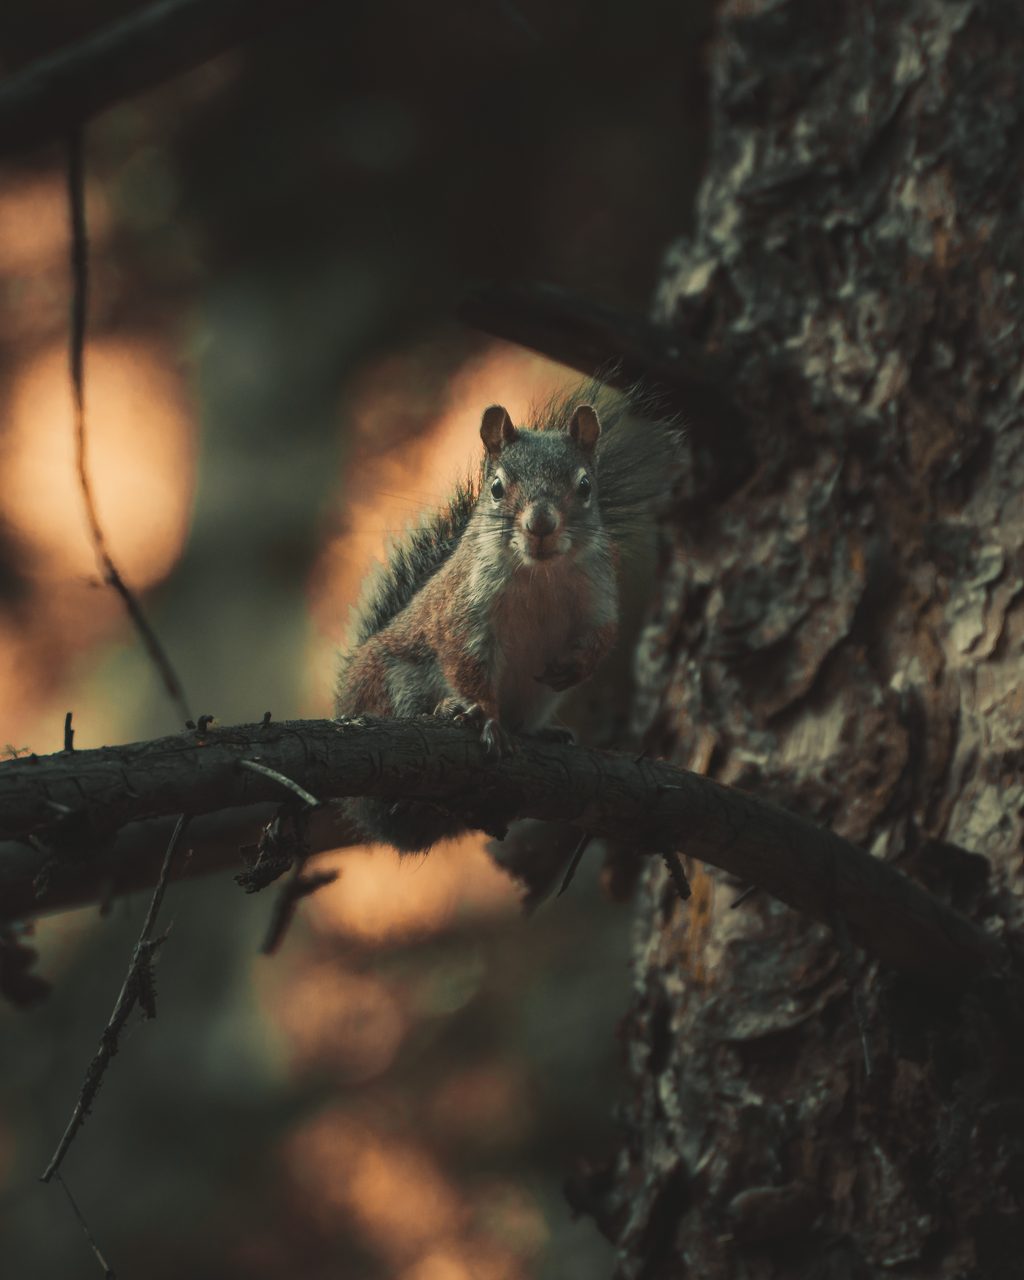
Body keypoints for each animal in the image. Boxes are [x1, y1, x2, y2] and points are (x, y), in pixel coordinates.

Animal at [335, 383, 680, 853]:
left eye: (585, 486)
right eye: (497, 487)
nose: (541, 523)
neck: (540, 574)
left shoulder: (599, 593)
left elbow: (603, 635)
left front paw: (573, 667)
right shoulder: (465, 609)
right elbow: (466, 660)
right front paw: (485, 718)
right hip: (393, 682)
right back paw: (447, 709)